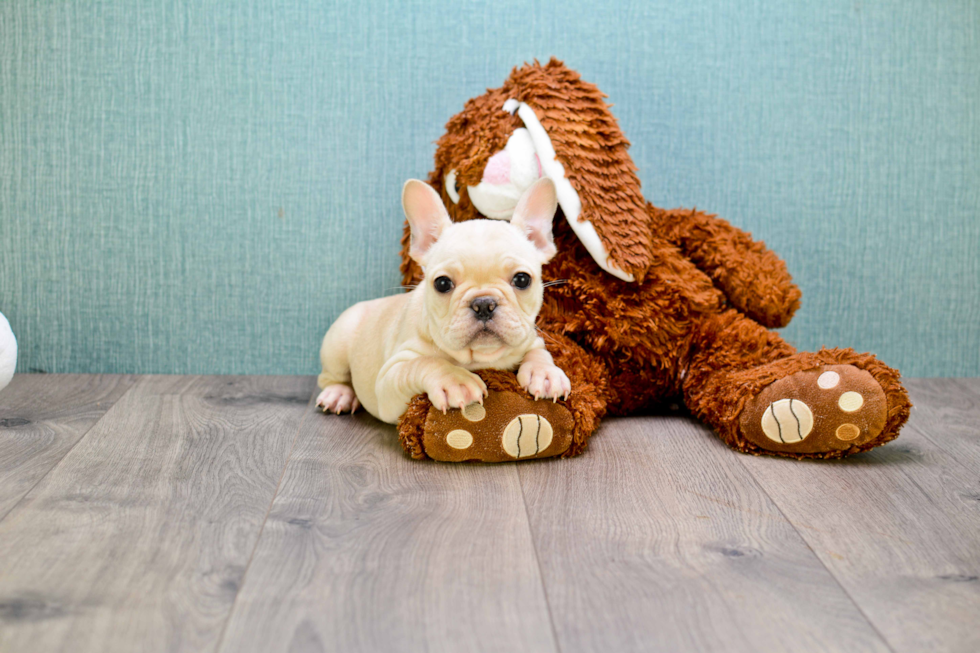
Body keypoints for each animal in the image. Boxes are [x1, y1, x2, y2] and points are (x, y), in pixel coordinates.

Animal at [318, 177, 572, 422]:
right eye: (442, 284)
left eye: (522, 279)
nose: (483, 304)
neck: (479, 357)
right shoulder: (389, 380)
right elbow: (425, 363)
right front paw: (454, 381)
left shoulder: (530, 339)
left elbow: (539, 353)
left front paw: (545, 374)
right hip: (337, 343)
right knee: (331, 377)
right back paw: (338, 394)